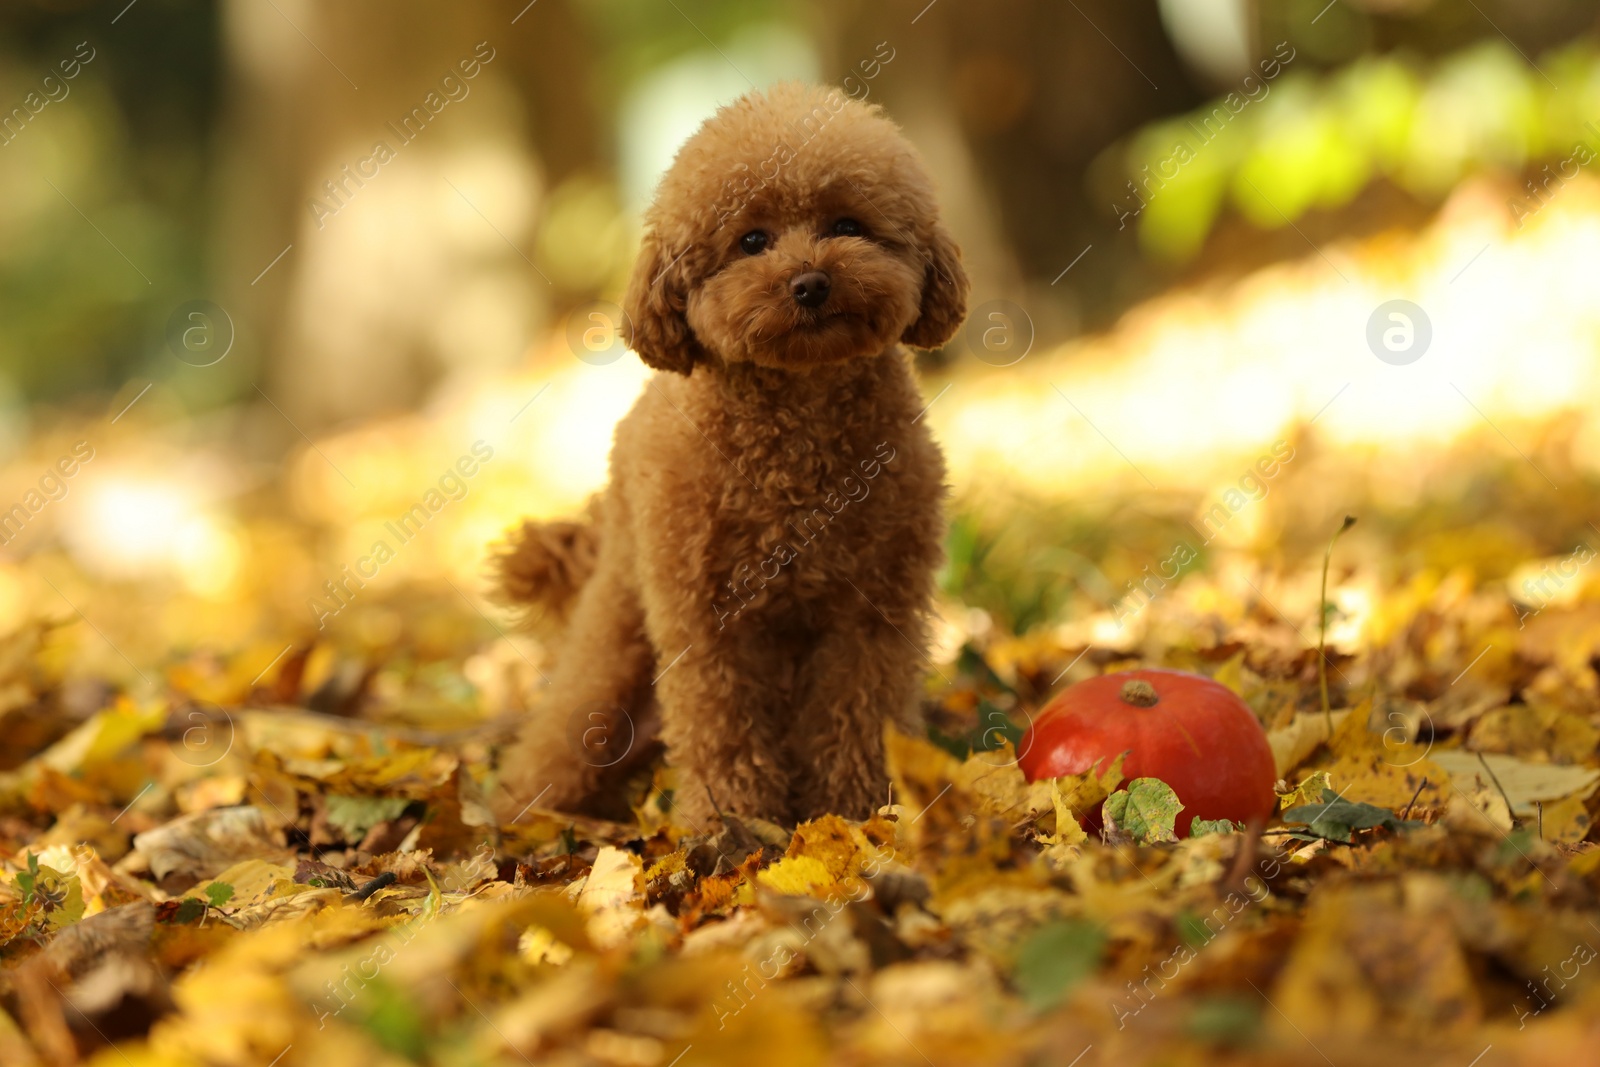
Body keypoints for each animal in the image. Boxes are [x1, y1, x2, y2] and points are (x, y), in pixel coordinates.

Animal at [489, 83, 960, 825]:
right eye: (752, 240)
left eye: (848, 224)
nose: (810, 282)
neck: (798, 434)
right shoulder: (705, 620)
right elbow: (721, 723)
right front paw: (727, 821)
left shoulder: (873, 610)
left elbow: (859, 710)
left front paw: (857, 812)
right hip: (619, 618)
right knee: (574, 710)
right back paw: (528, 807)